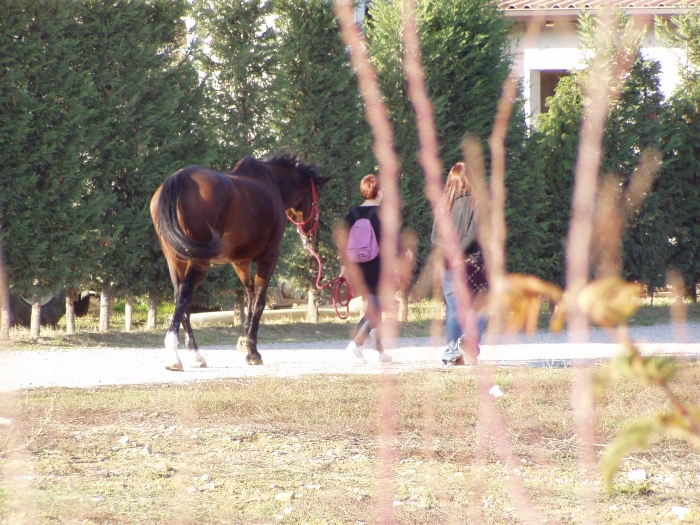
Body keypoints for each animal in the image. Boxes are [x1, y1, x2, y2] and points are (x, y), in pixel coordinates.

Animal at [149, 151, 330, 370]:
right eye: (318, 195)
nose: (314, 233)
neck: (272, 182)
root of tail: (179, 178)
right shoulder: (269, 257)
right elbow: (259, 301)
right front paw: (252, 351)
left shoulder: (240, 262)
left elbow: (249, 296)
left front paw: (244, 342)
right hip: (197, 260)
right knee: (184, 295)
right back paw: (174, 356)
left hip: (175, 259)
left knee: (181, 298)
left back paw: (195, 354)